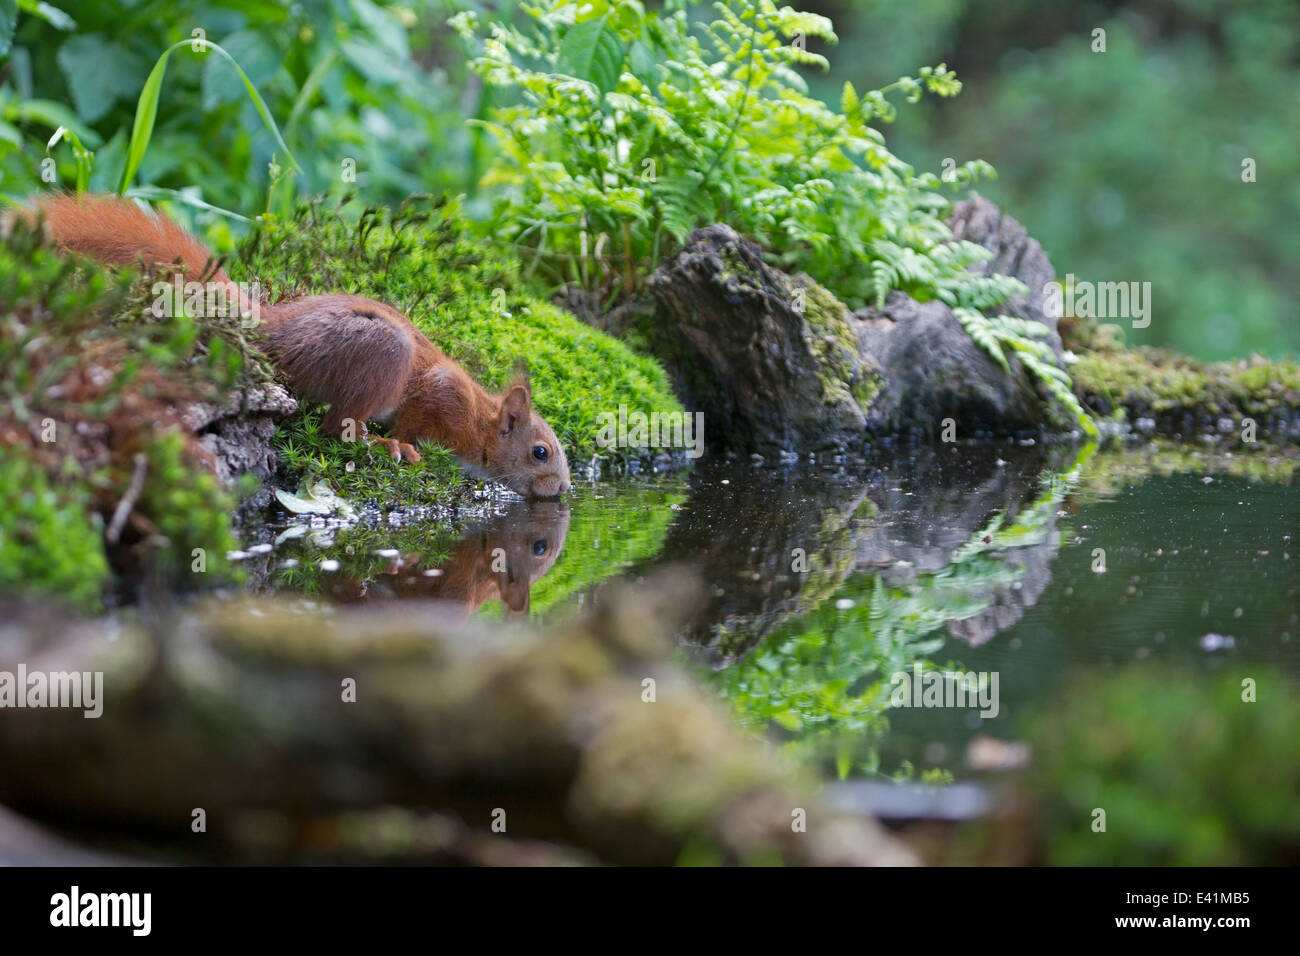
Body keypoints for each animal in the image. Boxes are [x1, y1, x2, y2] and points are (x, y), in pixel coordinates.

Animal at [26, 191, 569, 496]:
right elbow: (415, 418)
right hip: (381, 350)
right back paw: (382, 443)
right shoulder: (441, 393)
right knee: (336, 427)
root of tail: (273, 328)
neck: (480, 421)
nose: (564, 490)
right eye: (540, 452)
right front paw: (404, 443)